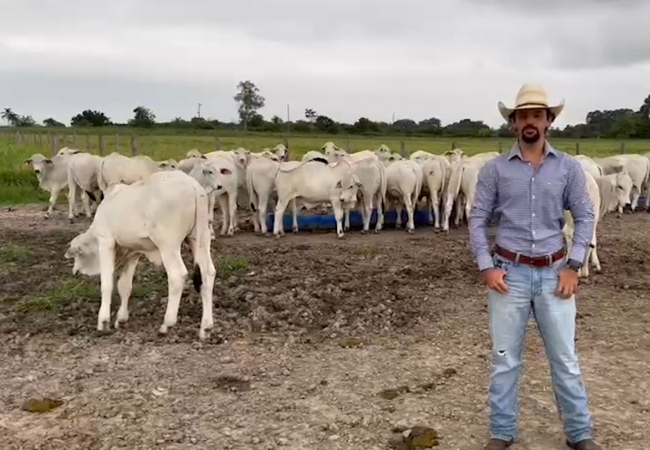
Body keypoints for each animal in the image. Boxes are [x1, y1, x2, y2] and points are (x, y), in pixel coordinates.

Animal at [63, 171, 215, 340]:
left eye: (77, 256)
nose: (75, 271)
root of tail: (193, 186)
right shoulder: (133, 252)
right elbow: (124, 286)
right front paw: (121, 318)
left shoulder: (106, 241)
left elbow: (107, 284)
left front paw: (103, 322)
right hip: (199, 238)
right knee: (208, 274)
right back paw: (206, 327)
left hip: (168, 244)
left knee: (177, 275)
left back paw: (167, 324)